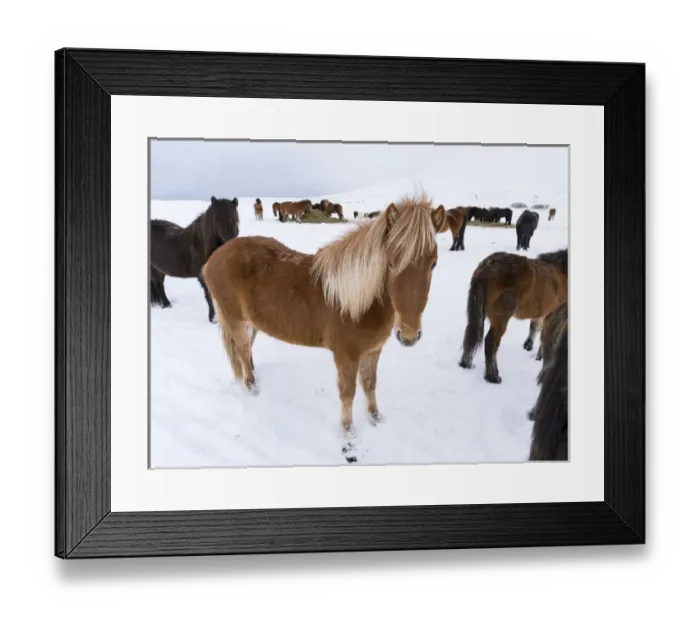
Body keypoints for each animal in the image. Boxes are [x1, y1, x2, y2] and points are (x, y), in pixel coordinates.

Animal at [201, 192, 446, 463]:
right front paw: (349, 433)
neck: (357, 301)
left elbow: (370, 385)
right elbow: (348, 393)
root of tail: (214, 258)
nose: (409, 335)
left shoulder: (373, 351)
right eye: (391, 262)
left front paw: (376, 419)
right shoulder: (346, 356)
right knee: (243, 352)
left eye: (433, 263)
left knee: (244, 353)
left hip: (251, 323)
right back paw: (252, 387)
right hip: (236, 320)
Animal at [457, 248, 568, 383]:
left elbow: (535, 327)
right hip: (501, 318)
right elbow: (548, 337)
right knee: (490, 343)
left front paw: (529, 346)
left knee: (471, 334)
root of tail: (488, 266)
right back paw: (493, 377)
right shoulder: (554, 314)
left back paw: (466, 364)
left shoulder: (542, 313)